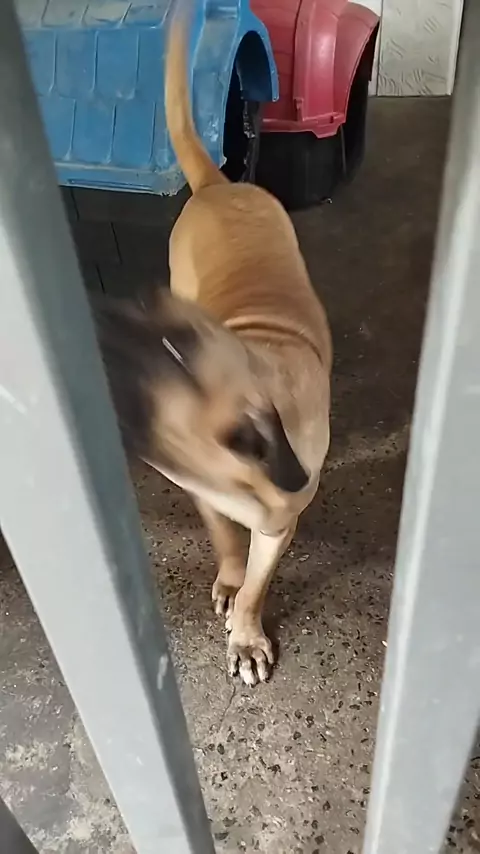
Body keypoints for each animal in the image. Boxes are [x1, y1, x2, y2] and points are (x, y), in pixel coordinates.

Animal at [94, 2, 332, 687]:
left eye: (143, 365)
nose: (99, 313)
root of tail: (216, 187)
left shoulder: (278, 522)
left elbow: (257, 581)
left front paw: (246, 630)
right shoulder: (208, 495)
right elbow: (228, 544)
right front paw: (228, 582)